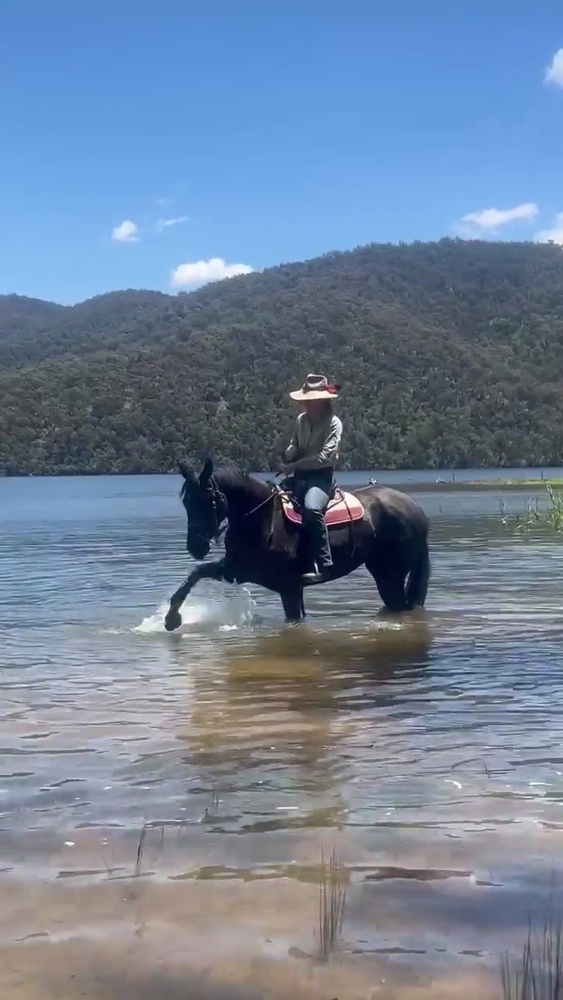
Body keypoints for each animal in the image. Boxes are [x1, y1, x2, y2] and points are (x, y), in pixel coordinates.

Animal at [164, 458, 430, 630]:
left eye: (207, 500)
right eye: (186, 502)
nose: (195, 547)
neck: (263, 521)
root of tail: (414, 507)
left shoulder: (289, 587)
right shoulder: (236, 571)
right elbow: (196, 574)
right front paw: (171, 618)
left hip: (391, 574)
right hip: (382, 572)